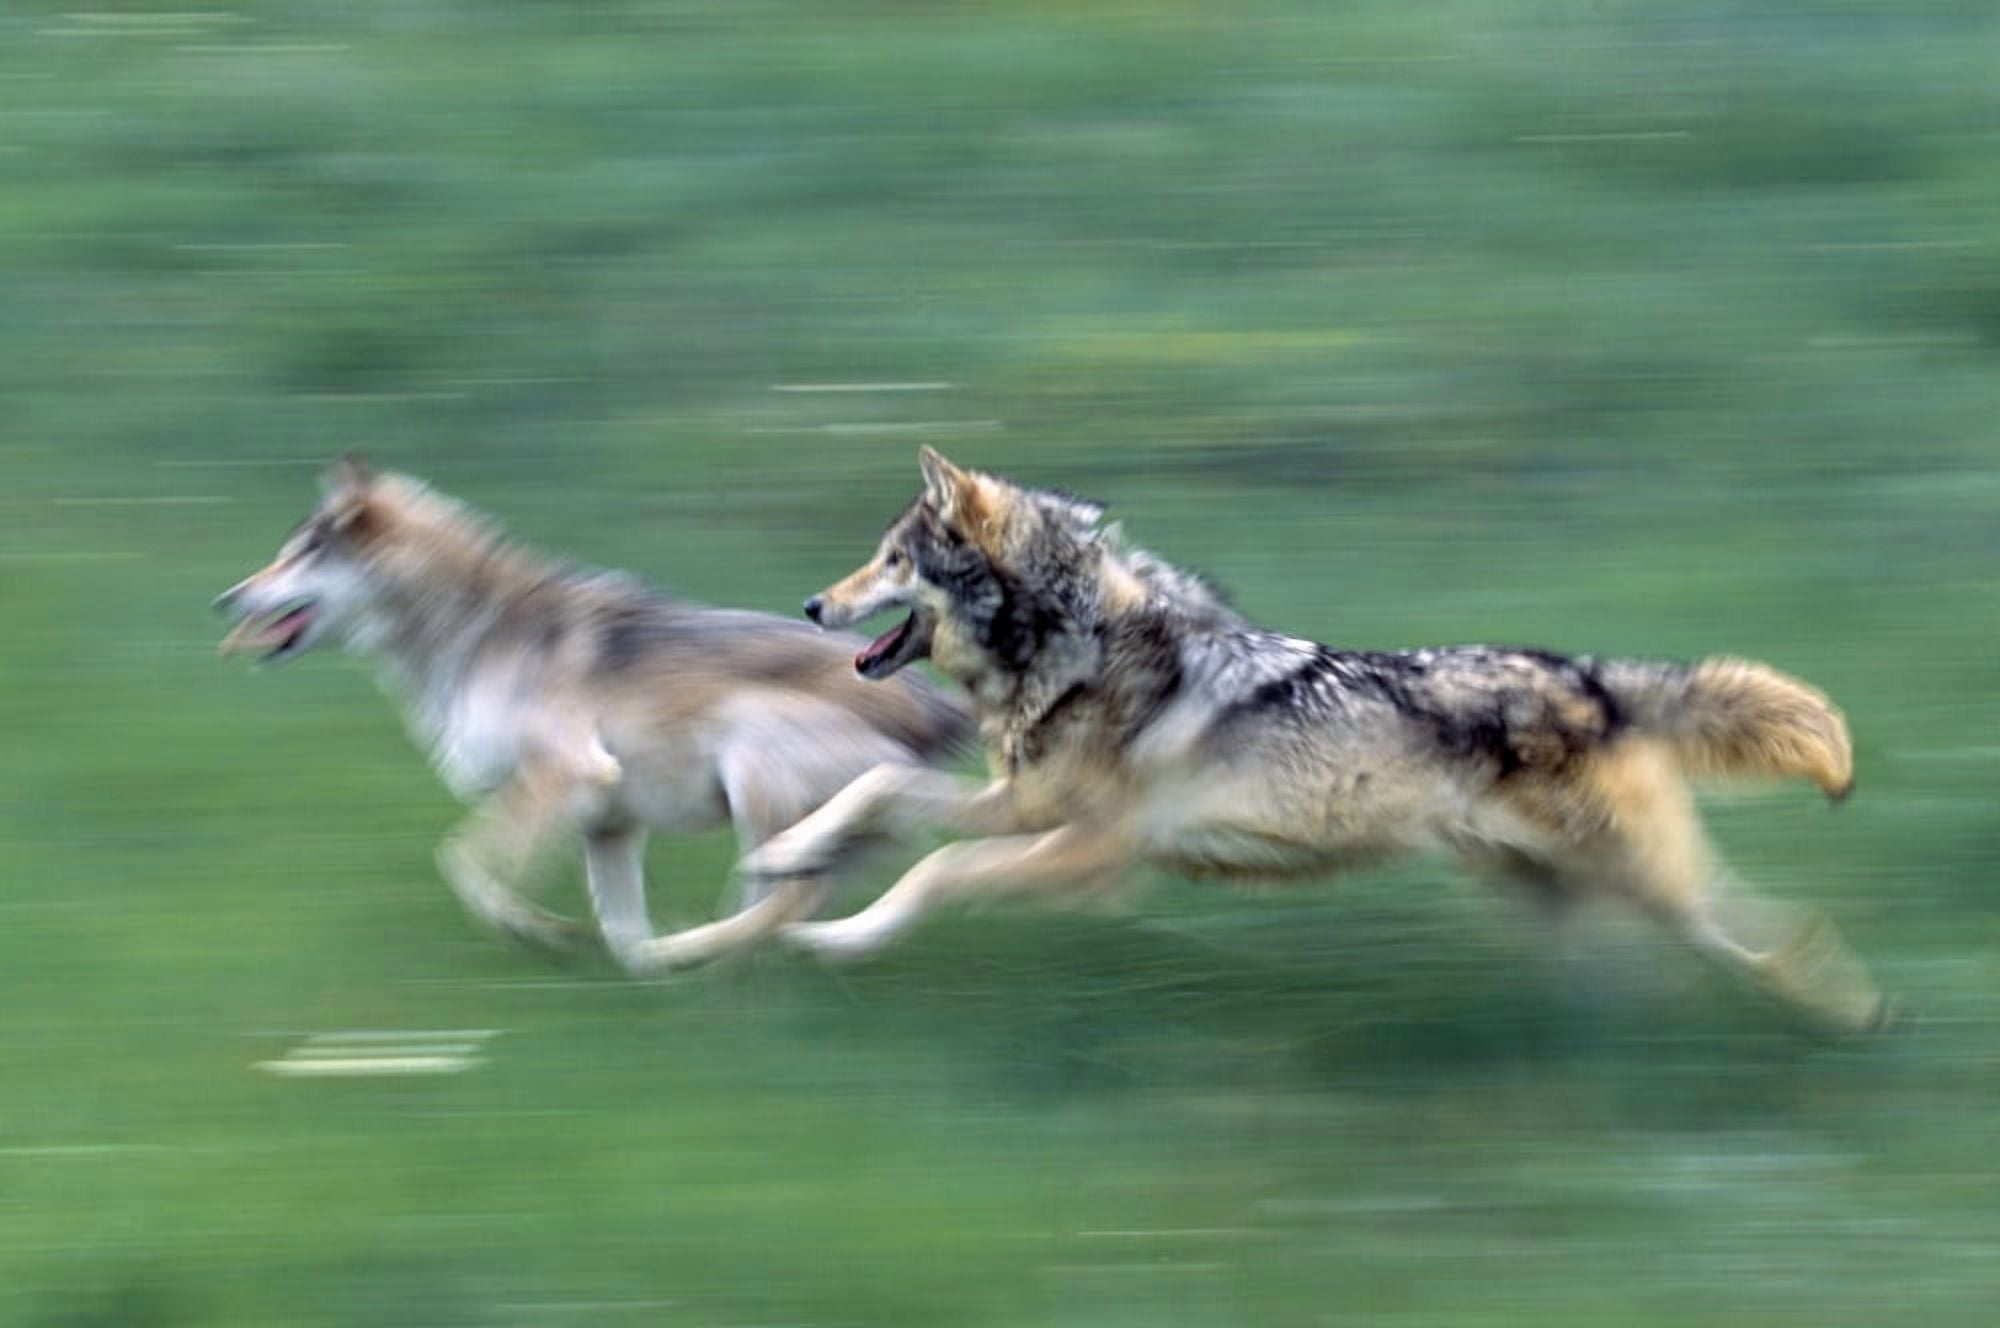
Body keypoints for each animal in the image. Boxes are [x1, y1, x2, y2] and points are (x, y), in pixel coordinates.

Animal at [215, 457, 968, 975]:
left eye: (298, 556)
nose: (225, 598)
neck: (473, 633)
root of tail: (943, 708)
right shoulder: (608, 824)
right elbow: (619, 929)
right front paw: (635, 973)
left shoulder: (567, 776)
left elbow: (464, 863)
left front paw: (531, 929)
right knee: (780, 905)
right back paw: (706, 962)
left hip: (756, 768)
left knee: (790, 901)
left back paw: (704, 952)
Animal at [743, 446, 1897, 1034]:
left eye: (892, 560)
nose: (808, 604)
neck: (1078, 646)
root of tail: (1596, 677)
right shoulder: (1022, 805)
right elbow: (880, 795)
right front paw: (784, 856)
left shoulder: (1088, 853)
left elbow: (934, 873)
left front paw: (840, 937)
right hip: (1557, 897)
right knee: (1661, 970)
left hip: (1648, 885)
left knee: (1769, 932)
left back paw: (1846, 1013)